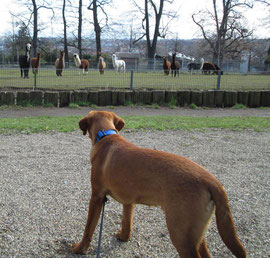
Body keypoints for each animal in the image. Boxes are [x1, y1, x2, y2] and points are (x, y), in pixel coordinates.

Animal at [71, 110, 247, 256]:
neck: (106, 135)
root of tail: (212, 181)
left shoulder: (97, 197)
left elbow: (88, 229)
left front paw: (80, 248)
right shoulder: (129, 200)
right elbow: (127, 221)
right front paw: (123, 236)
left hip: (181, 235)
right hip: (196, 233)